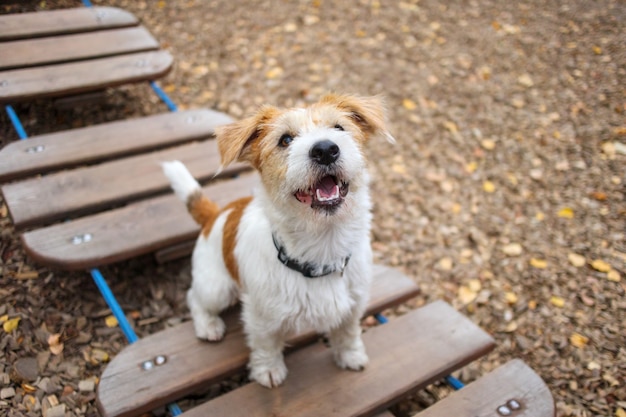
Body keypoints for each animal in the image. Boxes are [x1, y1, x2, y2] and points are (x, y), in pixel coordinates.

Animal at [161, 93, 390, 386]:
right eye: (285, 140)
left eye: (339, 127)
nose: (326, 149)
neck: (322, 245)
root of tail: (215, 215)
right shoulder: (262, 317)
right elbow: (266, 344)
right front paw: (268, 371)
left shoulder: (353, 305)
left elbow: (348, 333)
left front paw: (350, 356)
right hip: (217, 288)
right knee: (194, 297)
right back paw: (208, 325)